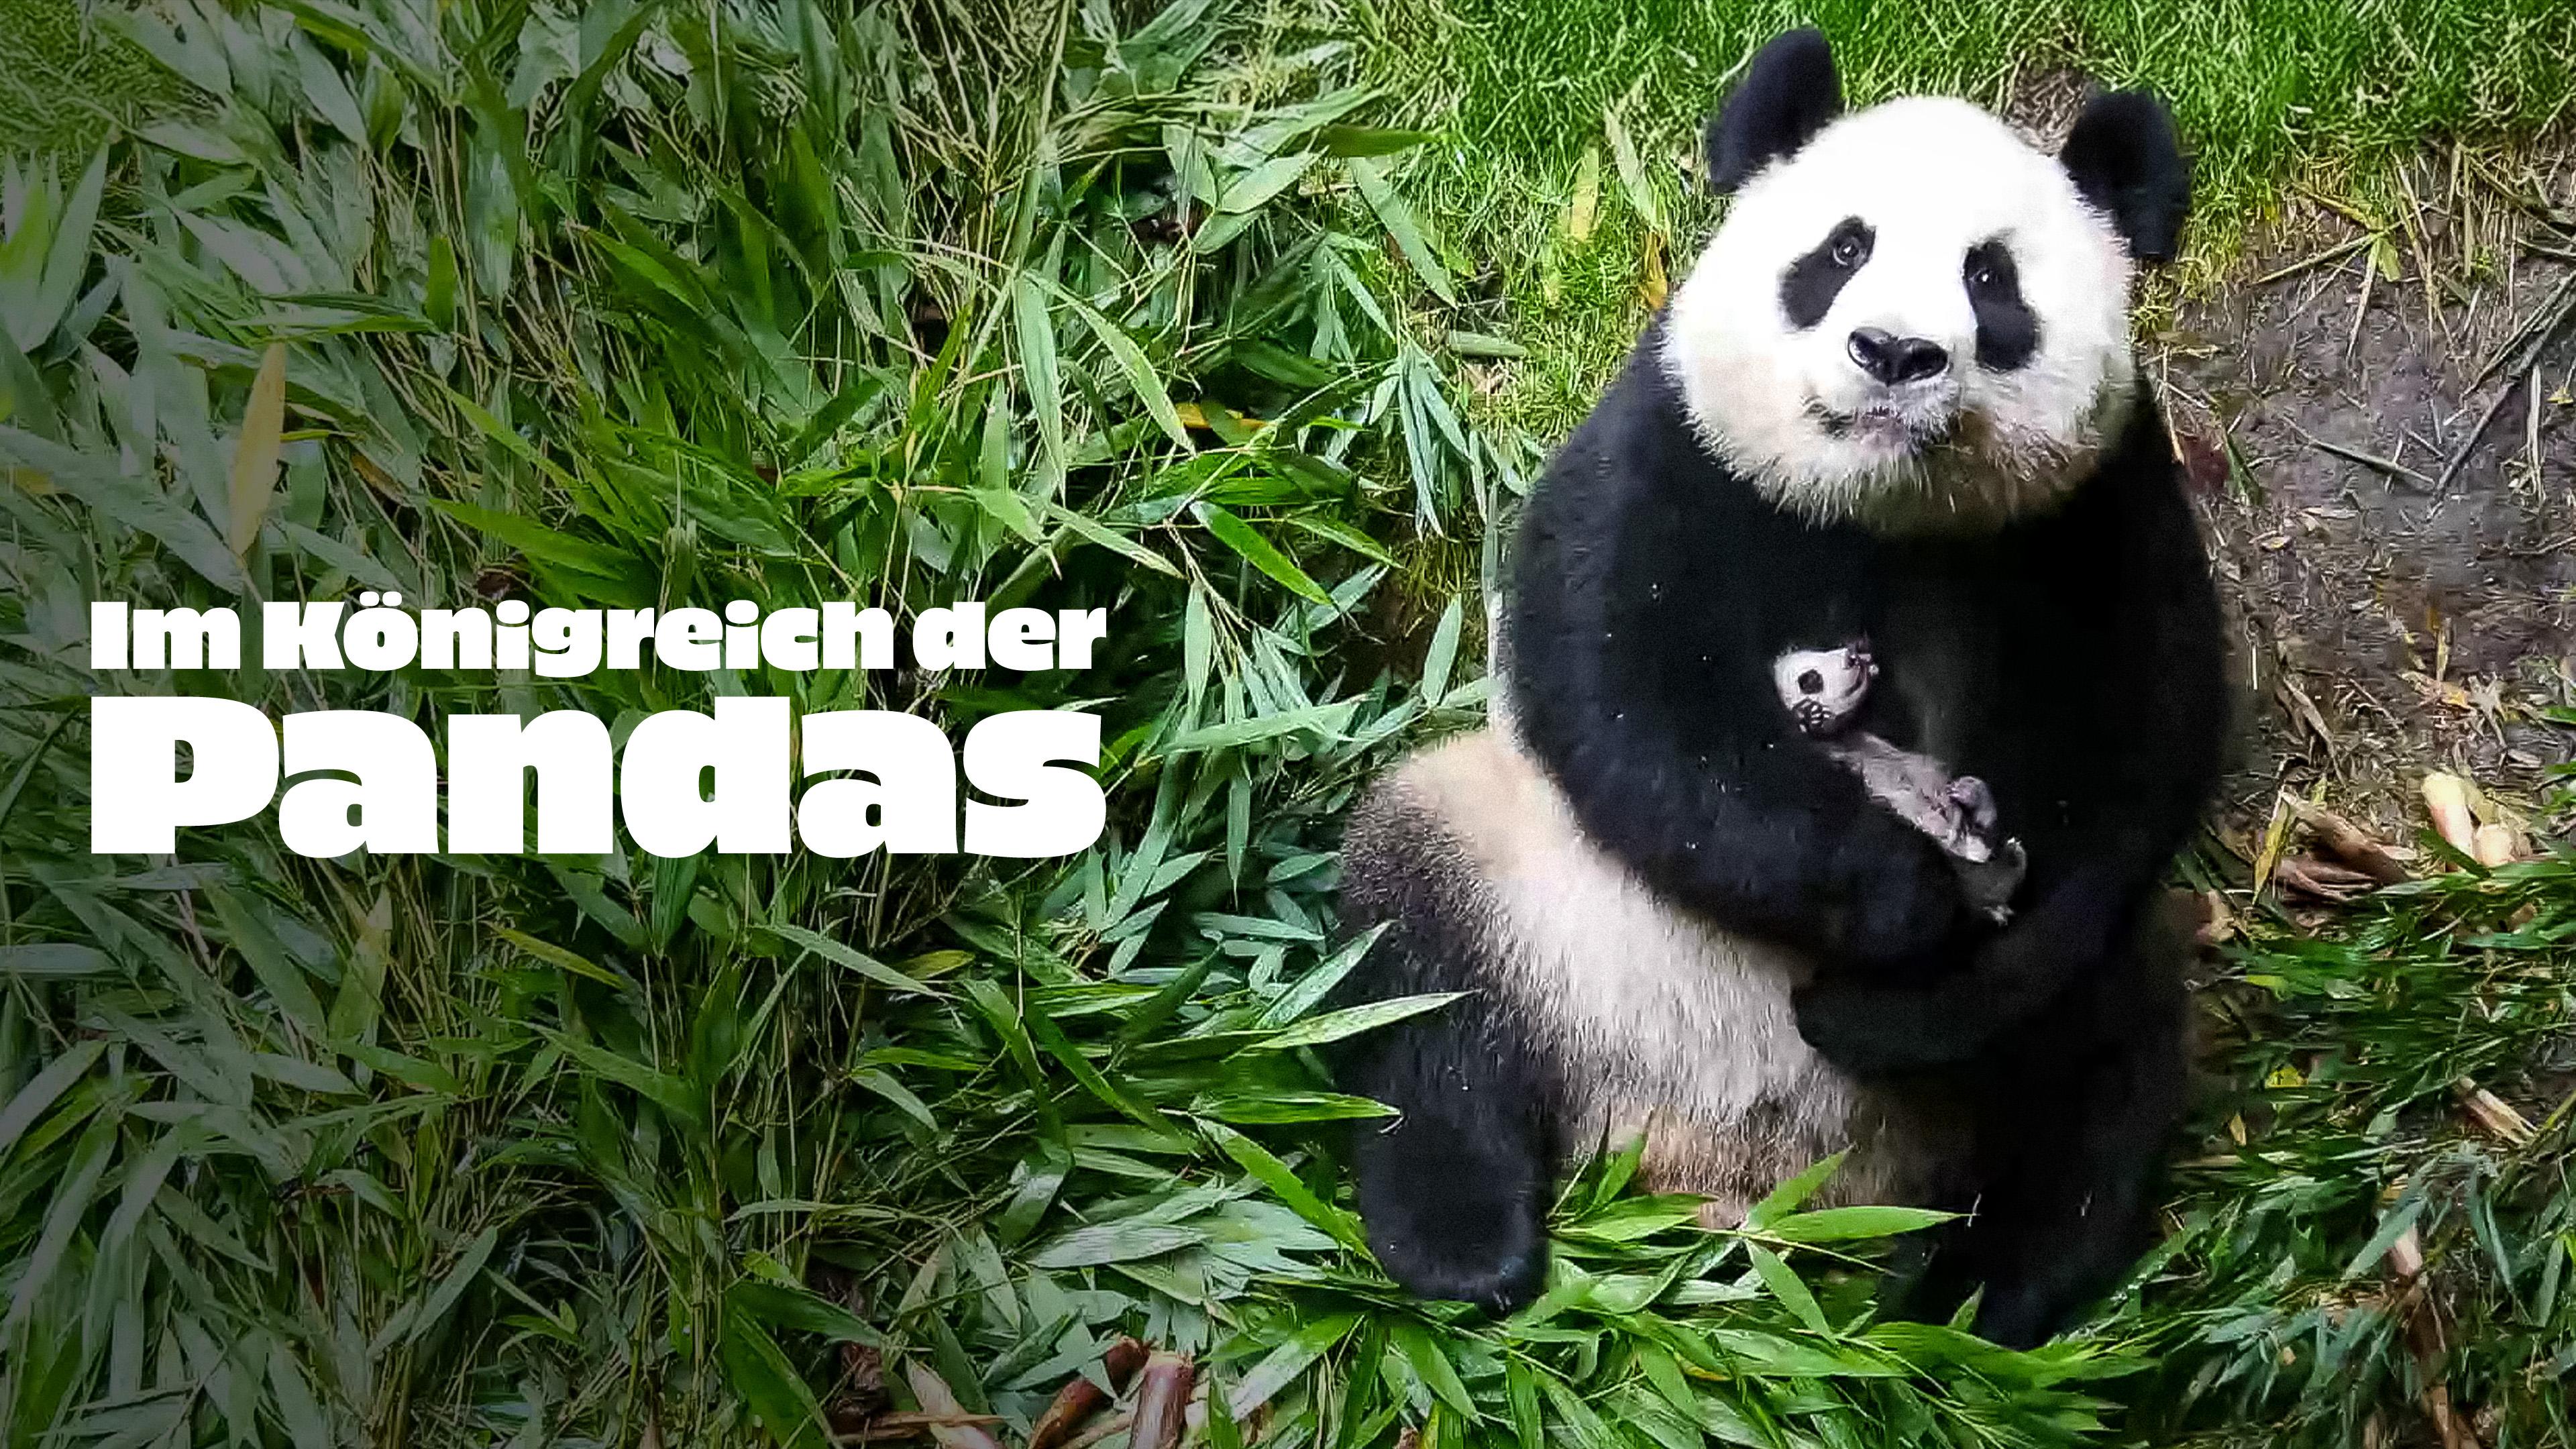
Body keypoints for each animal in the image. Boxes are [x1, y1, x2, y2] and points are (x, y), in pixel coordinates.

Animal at [1335, 28, 2225, 1349]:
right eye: (1841, 252)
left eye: (1993, 281)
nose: (1895, 355)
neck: (1887, 505)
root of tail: (1724, 1172)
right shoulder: (1678, 442)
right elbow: (1620, 695)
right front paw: (1902, 894)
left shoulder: (2102, 505)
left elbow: (2143, 739)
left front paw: (1894, 997)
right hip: (1535, 896)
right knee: (1419, 977)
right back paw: (1464, 1244)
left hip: (2075, 1016)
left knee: (2105, 1063)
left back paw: (1980, 1294)